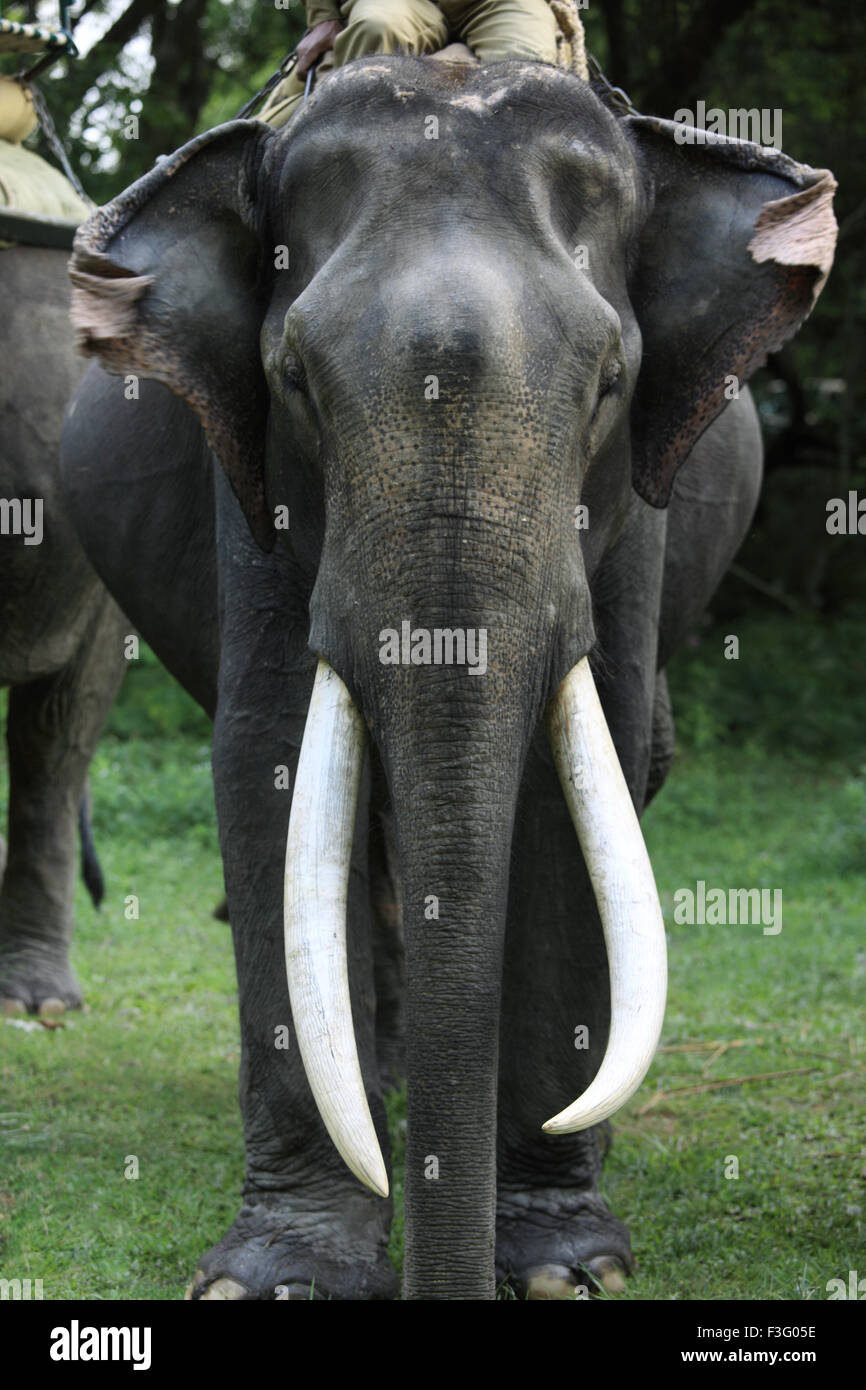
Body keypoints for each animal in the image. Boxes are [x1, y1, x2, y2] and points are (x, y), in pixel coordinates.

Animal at [59, 51, 834, 1289]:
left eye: (608, 383)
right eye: (294, 380)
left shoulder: (630, 509)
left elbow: (584, 769)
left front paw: (565, 1264)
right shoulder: (250, 485)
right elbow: (266, 757)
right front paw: (277, 1272)